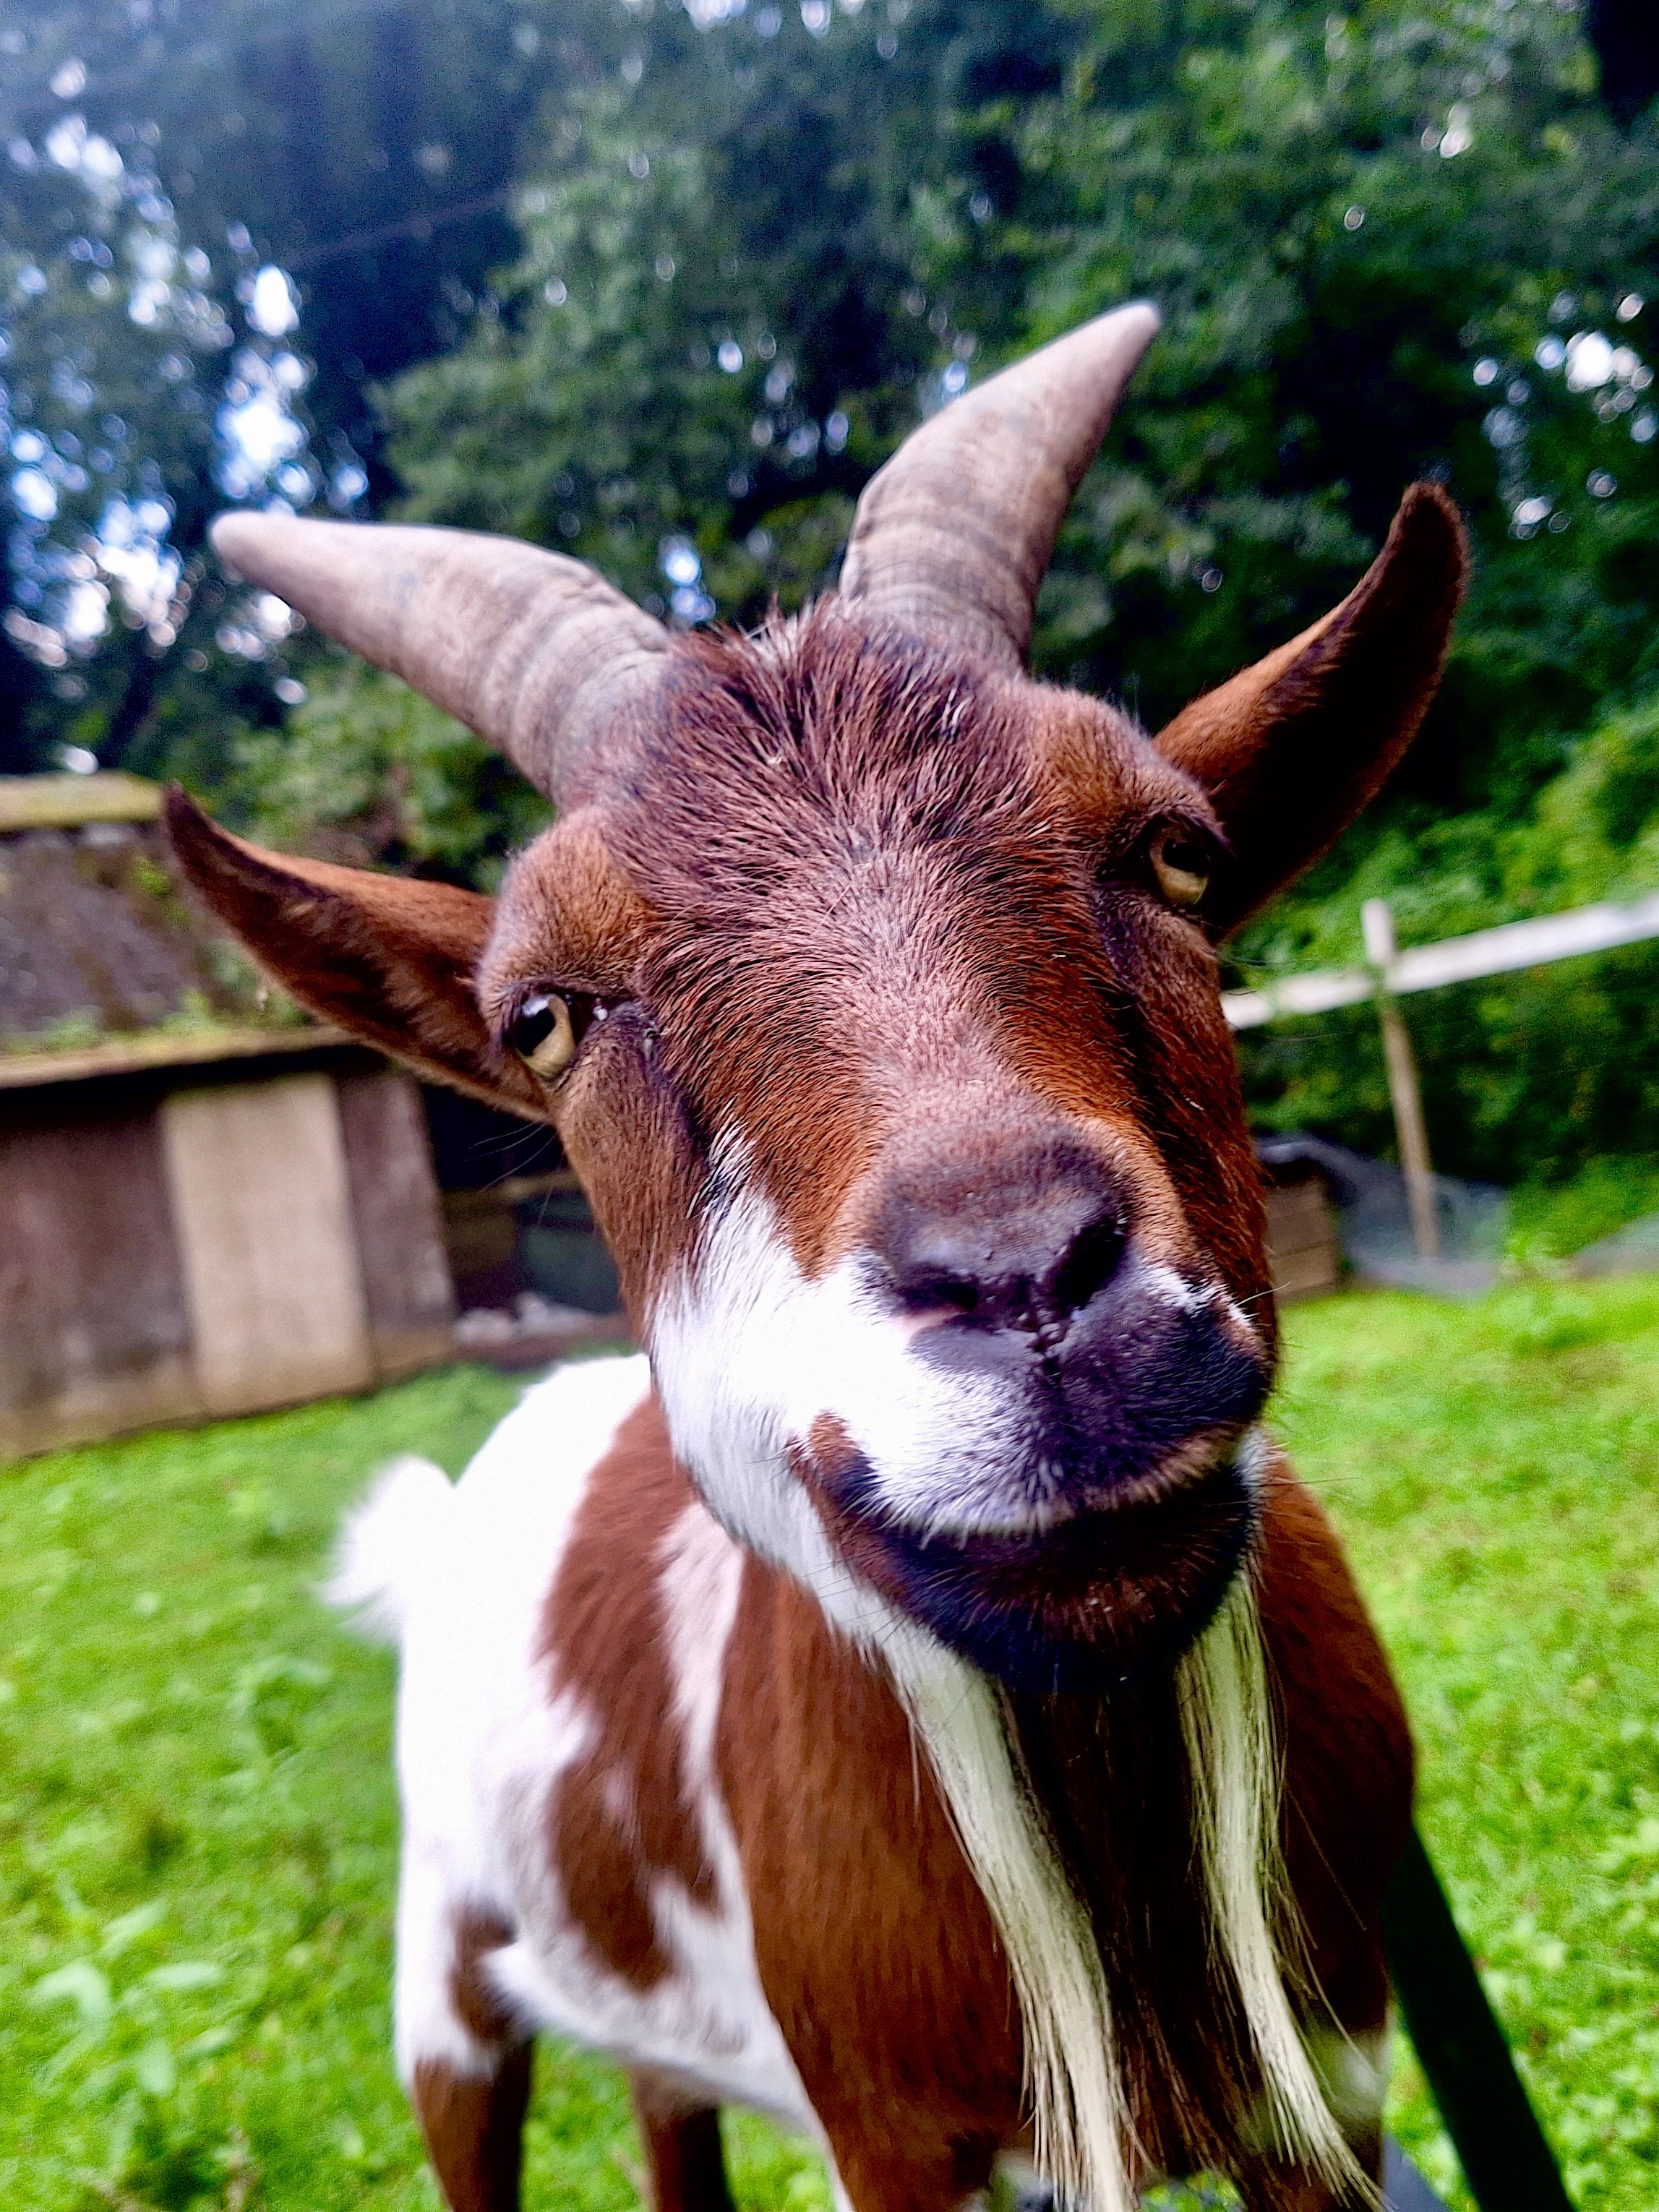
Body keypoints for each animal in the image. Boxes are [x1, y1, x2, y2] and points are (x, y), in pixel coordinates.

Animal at [166, 304, 1466, 2212]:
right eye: (543, 1018)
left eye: (1170, 850)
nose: (1026, 1286)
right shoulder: (889, 2132)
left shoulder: (1335, 2076)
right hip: (443, 1979)